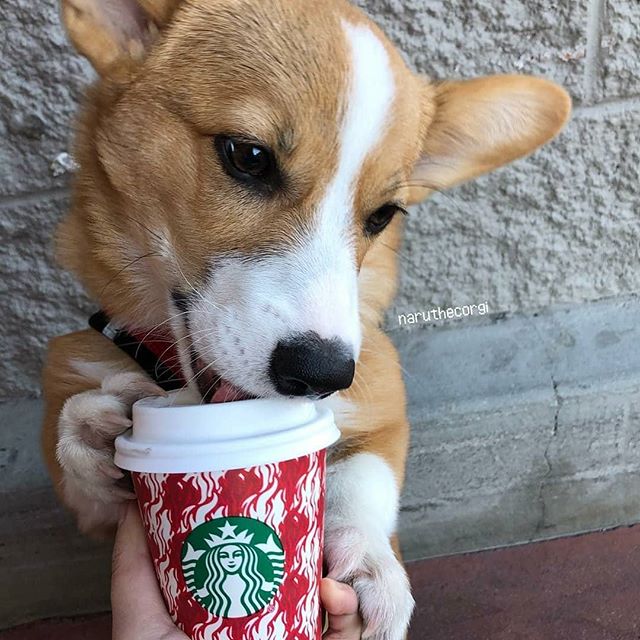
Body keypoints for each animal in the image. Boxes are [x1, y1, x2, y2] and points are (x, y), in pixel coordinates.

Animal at [40, 1, 568, 636]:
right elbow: (75, 454)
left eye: (383, 214)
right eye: (248, 156)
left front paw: (369, 565)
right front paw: (93, 432)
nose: (322, 375)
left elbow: (363, 476)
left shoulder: (381, 405)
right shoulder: (90, 502)